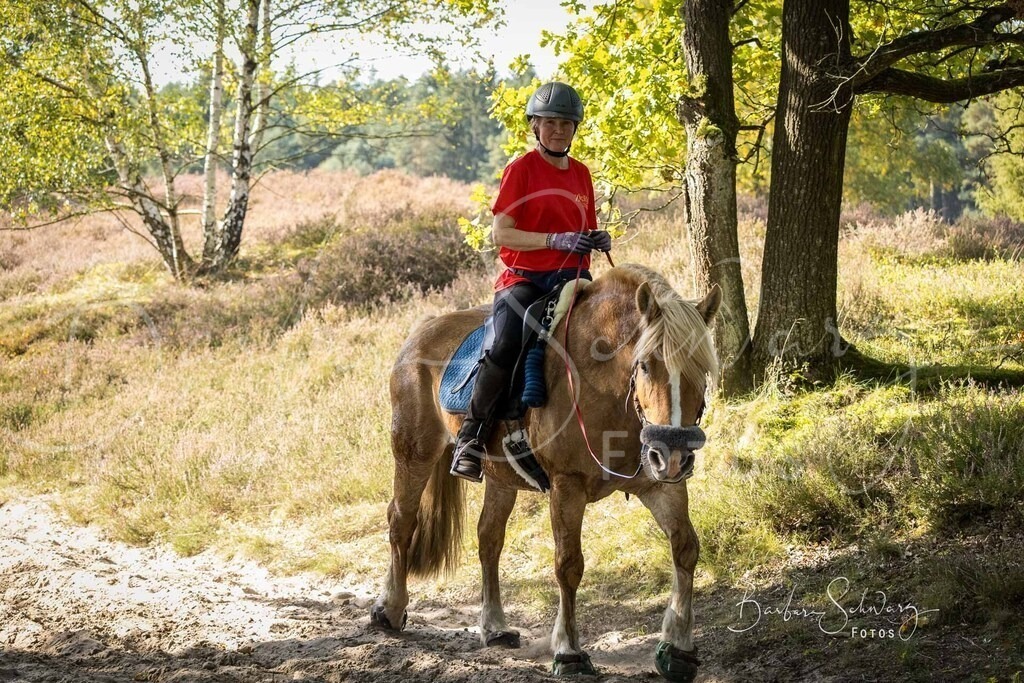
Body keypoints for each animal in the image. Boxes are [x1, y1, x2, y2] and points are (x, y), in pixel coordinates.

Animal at [371, 264, 720, 681]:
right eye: (647, 364)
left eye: (702, 368)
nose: (675, 456)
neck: (601, 378)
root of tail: (421, 333)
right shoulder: (567, 486)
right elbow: (568, 565)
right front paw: (569, 653)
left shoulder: (658, 483)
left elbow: (685, 547)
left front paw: (677, 647)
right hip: (414, 454)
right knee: (401, 521)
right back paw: (390, 609)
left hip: (500, 478)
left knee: (488, 538)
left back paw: (495, 626)